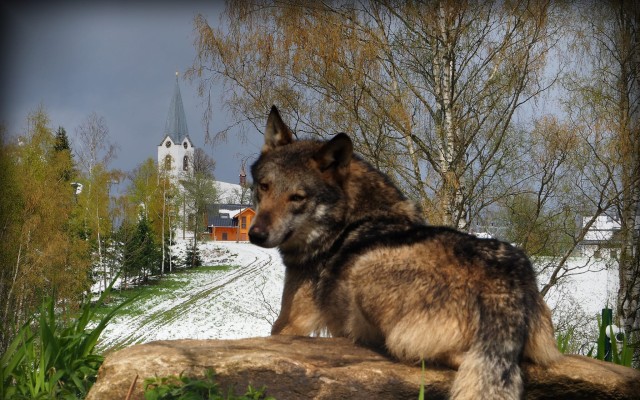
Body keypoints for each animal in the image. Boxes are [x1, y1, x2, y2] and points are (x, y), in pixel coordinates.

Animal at [248, 104, 556, 398]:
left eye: (297, 198)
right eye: (264, 187)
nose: (255, 234)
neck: (346, 219)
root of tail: (503, 283)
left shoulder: (291, 322)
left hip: (366, 271)